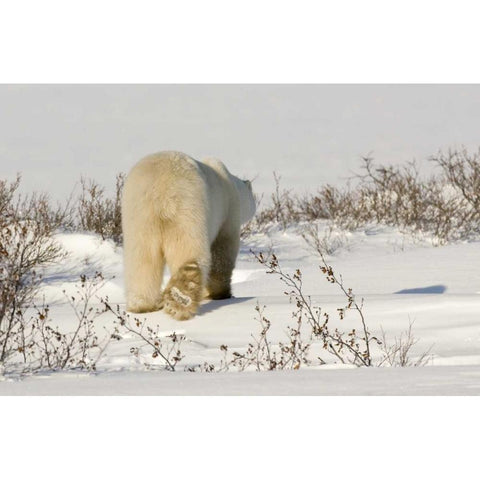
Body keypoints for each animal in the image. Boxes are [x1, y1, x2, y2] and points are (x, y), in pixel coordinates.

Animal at [121, 152, 255, 320]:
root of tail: (159, 192)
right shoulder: (228, 215)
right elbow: (221, 254)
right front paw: (220, 294)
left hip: (138, 215)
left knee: (141, 260)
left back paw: (143, 306)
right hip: (187, 209)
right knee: (189, 253)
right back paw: (180, 302)